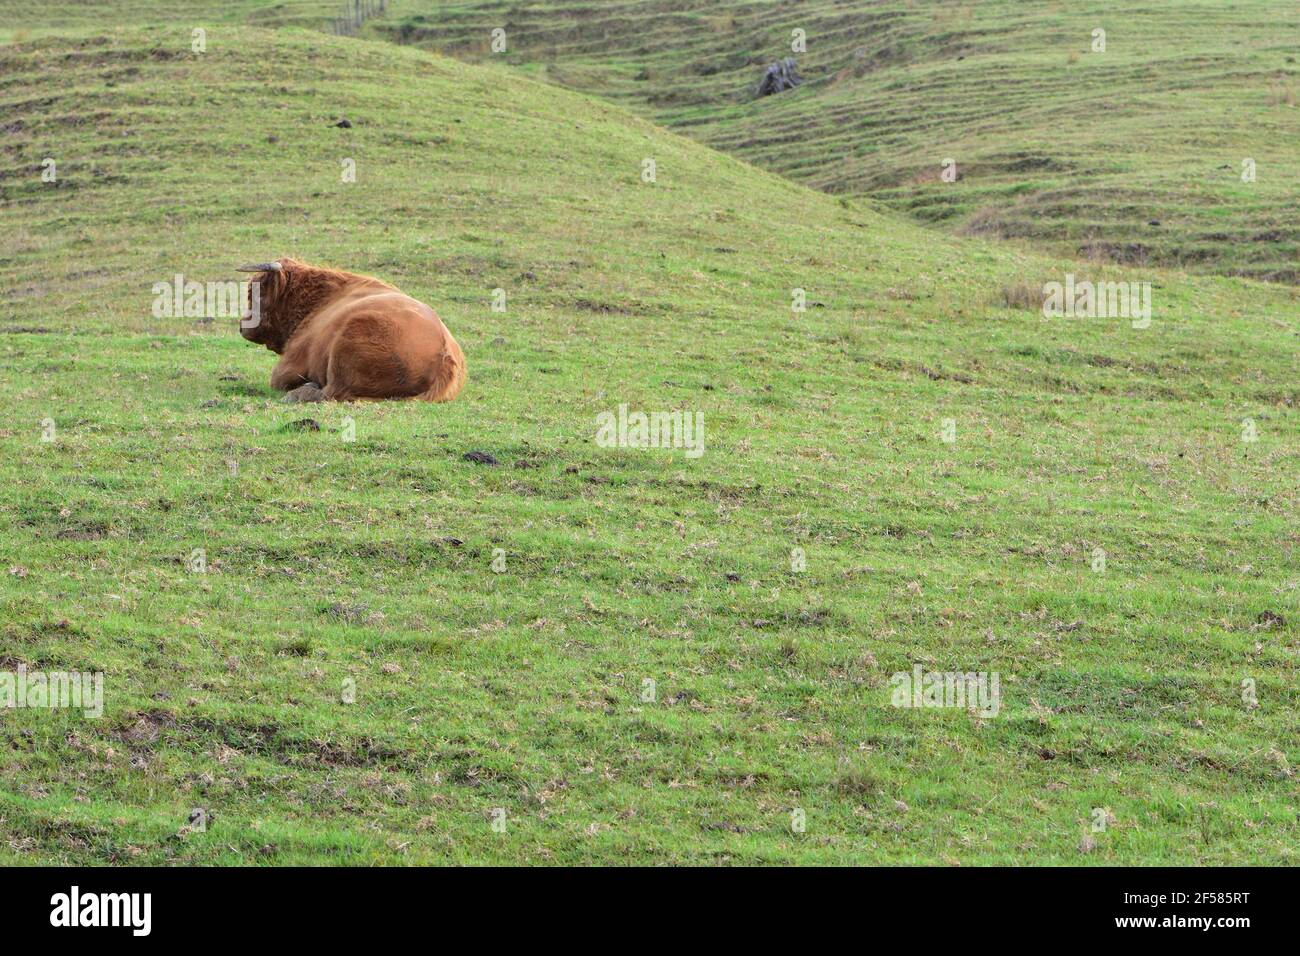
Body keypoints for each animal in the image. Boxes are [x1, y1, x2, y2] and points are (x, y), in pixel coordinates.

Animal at [236, 256, 465, 403]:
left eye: (255, 292)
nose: (242, 325)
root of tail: (445, 356)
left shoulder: (290, 363)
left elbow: (277, 379)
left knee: (332, 393)